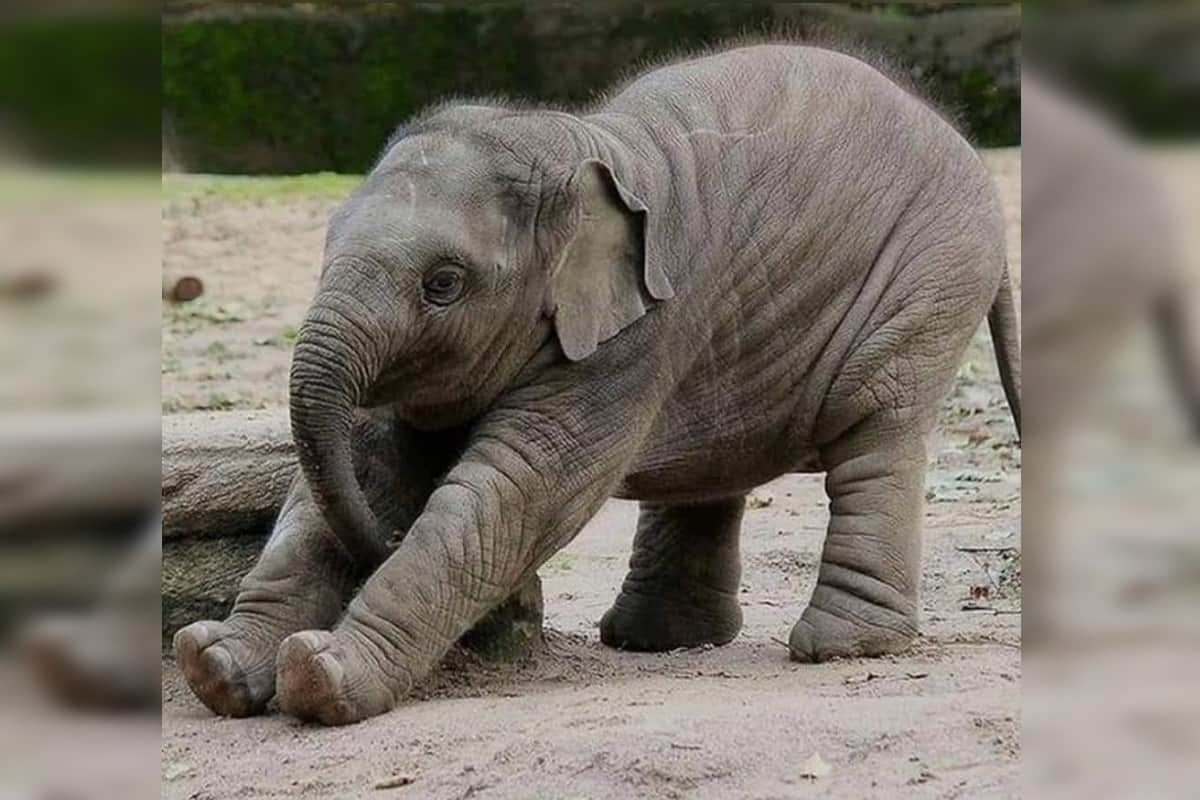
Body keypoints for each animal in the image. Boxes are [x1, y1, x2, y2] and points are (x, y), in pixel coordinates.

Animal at [174, 43, 1021, 725]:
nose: (378, 543)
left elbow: (517, 489)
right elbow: (368, 463)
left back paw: (839, 648)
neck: (575, 142)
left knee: (875, 432)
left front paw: (320, 676)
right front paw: (213, 665)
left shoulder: (637, 337)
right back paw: (654, 641)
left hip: (929, 275)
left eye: (443, 284)